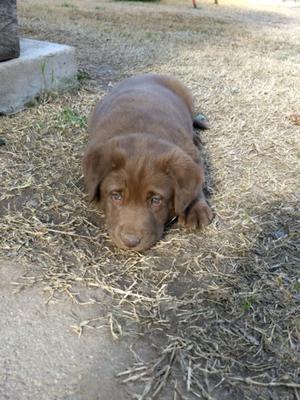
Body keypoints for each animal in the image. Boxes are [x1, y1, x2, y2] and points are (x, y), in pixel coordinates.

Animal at [83, 73, 212, 250]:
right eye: (116, 196)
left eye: (156, 200)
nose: (130, 241)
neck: (142, 130)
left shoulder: (190, 153)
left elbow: (197, 183)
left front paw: (195, 208)